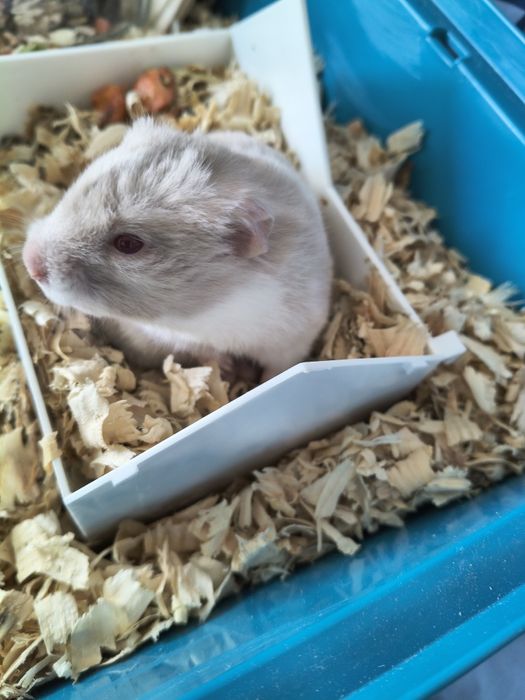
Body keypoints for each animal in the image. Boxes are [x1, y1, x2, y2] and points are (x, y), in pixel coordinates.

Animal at [22, 117, 333, 381]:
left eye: (128, 244)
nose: (29, 263)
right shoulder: (170, 337)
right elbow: (204, 351)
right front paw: (226, 367)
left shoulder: (292, 340)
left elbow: (278, 370)